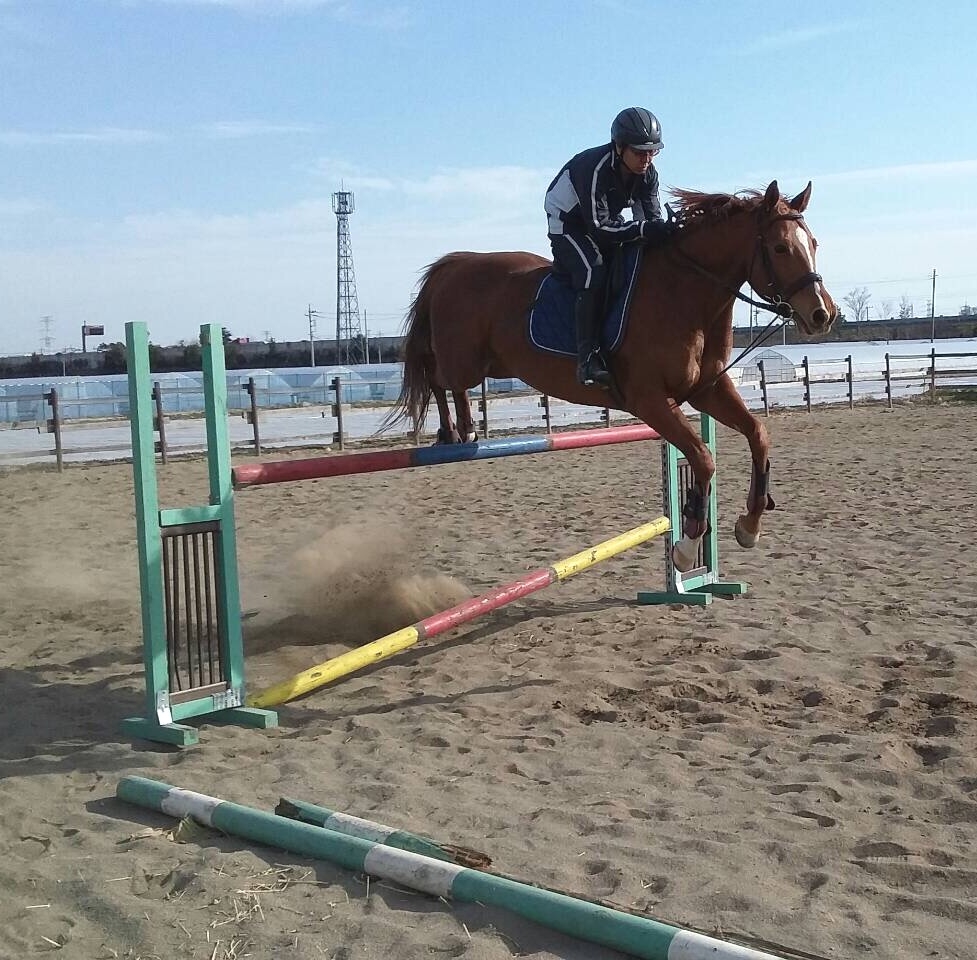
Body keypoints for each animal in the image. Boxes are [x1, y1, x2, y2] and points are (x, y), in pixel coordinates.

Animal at [387, 179, 837, 572]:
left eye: (814, 244)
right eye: (780, 247)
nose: (822, 314)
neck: (685, 291)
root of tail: (455, 264)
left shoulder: (706, 390)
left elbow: (757, 435)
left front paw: (750, 525)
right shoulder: (650, 400)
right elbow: (703, 458)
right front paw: (687, 544)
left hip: (492, 363)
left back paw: (459, 429)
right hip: (464, 360)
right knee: (434, 374)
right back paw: (457, 429)